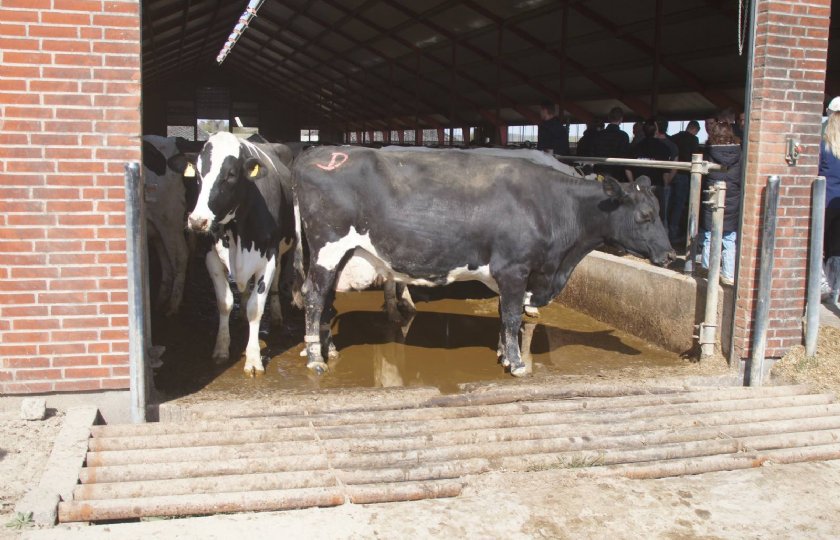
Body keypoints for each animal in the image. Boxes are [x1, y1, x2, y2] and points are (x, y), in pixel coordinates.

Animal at [187, 132, 296, 376]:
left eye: (231, 175)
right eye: (197, 174)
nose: (198, 221)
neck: (238, 230)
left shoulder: (269, 257)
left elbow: (256, 307)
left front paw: (254, 358)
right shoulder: (211, 257)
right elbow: (225, 302)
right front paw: (221, 348)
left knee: (276, 282)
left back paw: (276, 315)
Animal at [292, 146, 672, 378]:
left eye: (658, 210)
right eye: (645, 215)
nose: (670, 255)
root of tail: (317, 154)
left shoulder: (510, 275)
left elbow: (505, 315)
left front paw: (504, 354)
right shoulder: (515, 269)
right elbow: (513, 316)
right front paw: (517, 364)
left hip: (341, 255)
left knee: (326, 300)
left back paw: (329, 349)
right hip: (327, 249)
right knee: (314, 297)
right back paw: (315, 359)